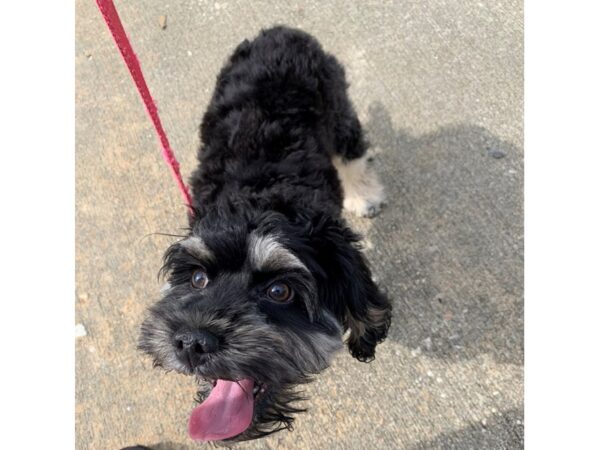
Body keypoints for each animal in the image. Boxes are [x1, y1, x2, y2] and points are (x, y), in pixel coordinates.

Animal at [138, 25, 392, 442]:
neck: (260, 198)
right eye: (197, 278)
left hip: (338, 109)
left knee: (353, 149)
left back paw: (365, 194)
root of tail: (281, 31)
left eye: (279, 291)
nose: (191, 343)